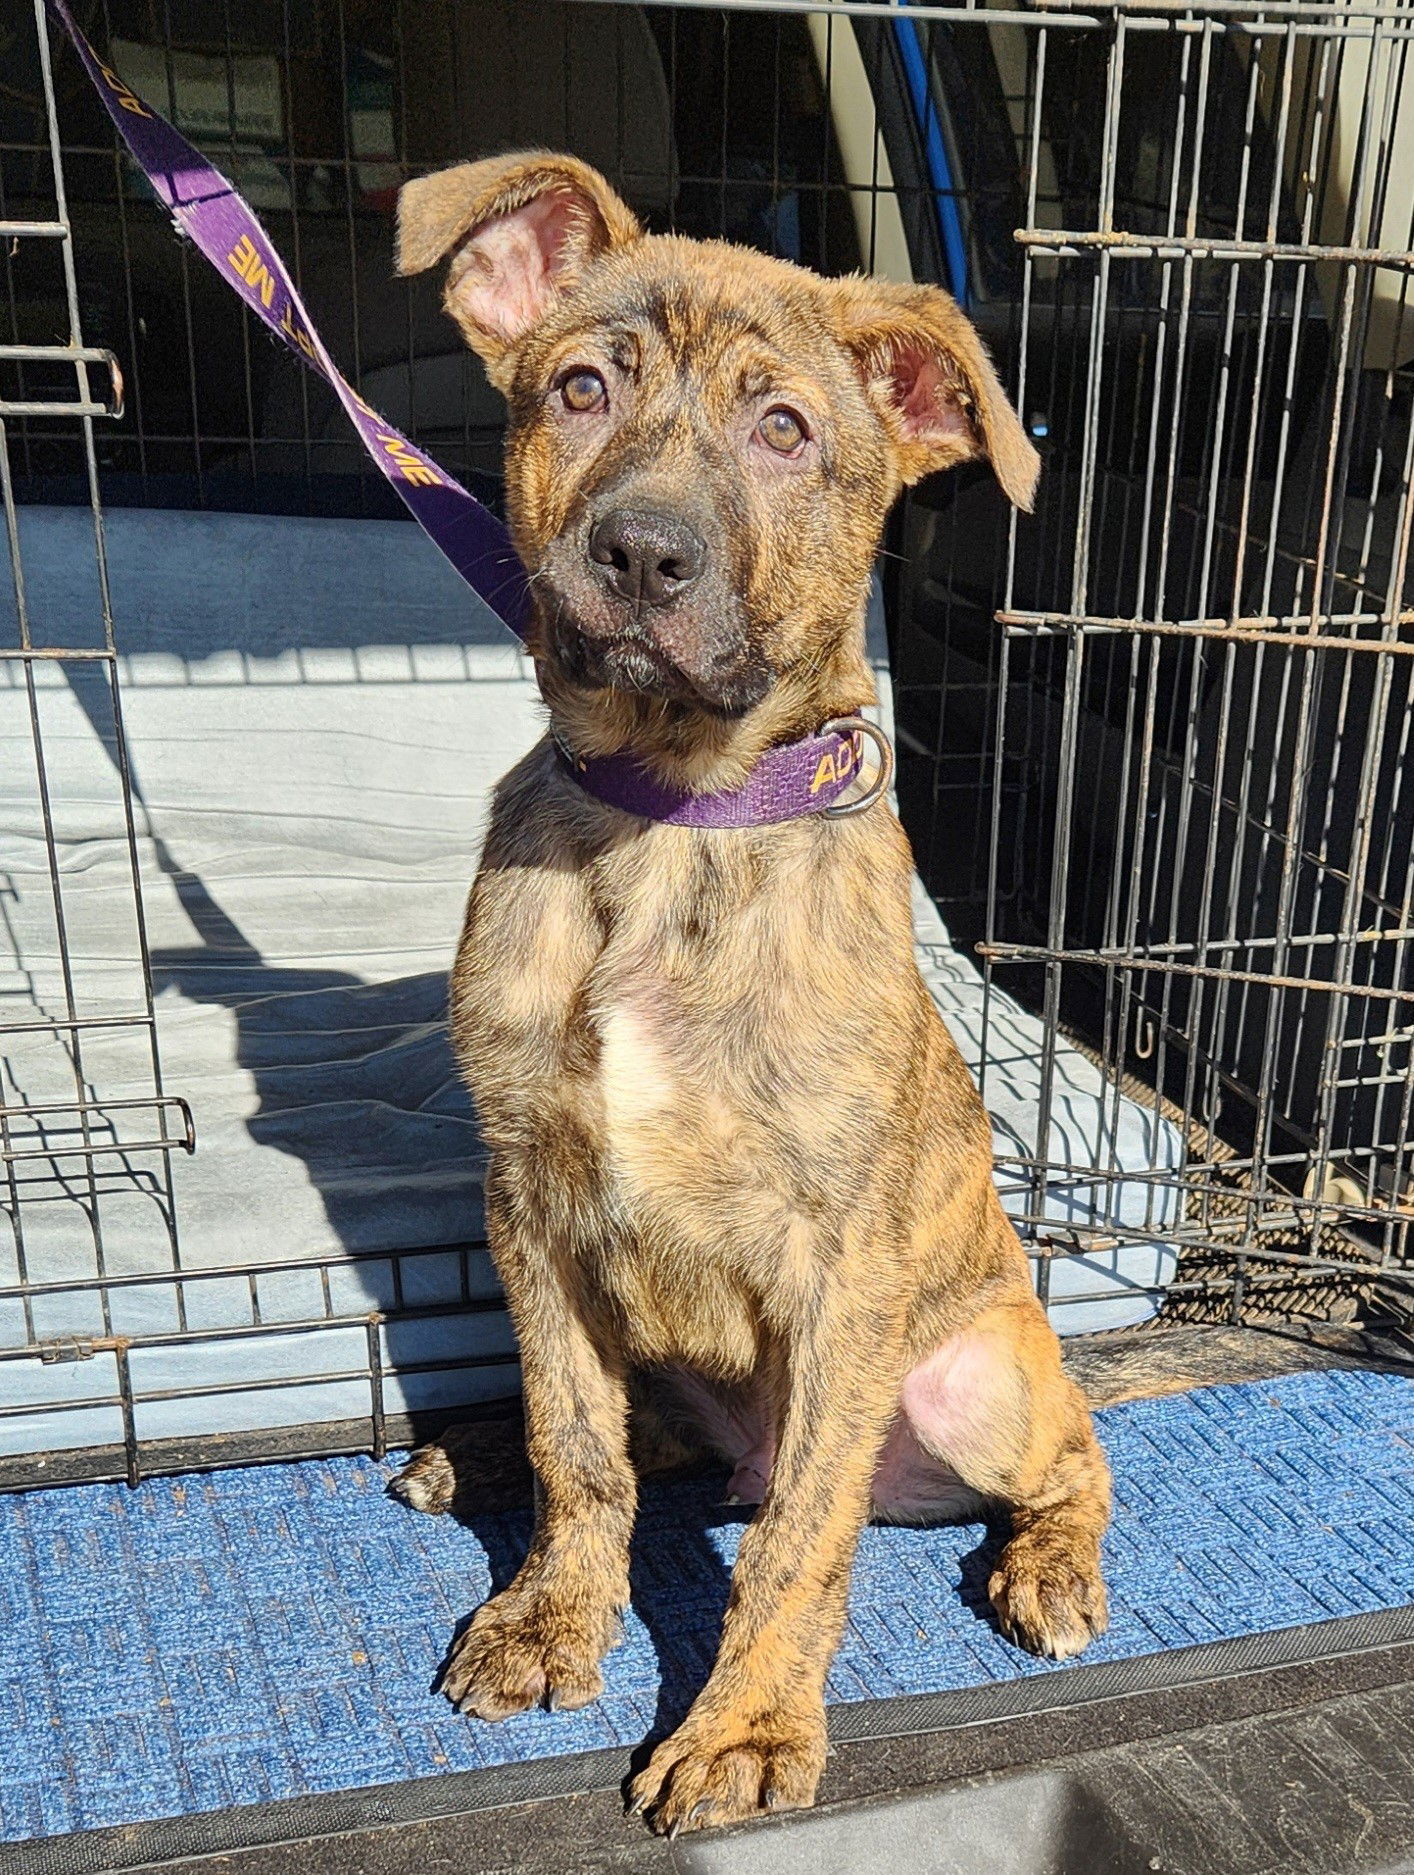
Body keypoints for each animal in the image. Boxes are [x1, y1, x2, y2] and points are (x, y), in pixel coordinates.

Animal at [391, 153, 1110, 1837]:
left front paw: (746, 1721)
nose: (641, 554)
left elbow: (797, 1540)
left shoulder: (839, 1264)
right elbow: (576, 1443)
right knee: (643, 1436)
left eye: (784, 429)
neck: (672, 819)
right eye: (579, 390)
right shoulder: (532, 1203)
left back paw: (1048, 1567)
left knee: (1072, 1460)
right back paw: (475, 1460)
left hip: (981, 1374)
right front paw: (551, 1612)